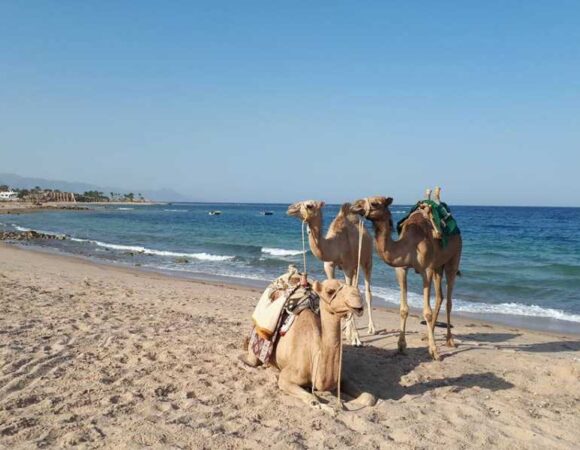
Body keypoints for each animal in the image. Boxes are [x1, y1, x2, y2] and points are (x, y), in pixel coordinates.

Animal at [240, 280, 376, 414]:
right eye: (330, 291)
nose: (357, 296)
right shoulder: (287, 376)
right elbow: (313, 399)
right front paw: (329, 407)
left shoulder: (342, 377)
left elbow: (369, 397)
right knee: (250, 359)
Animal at [286, 200, 376, 344]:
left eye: (309, 205)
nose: (290, 208)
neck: (336, 245)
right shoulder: (329, 266)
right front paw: (347, 331)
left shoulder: (348, 267)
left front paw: (355, 337)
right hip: (356, 267)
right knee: (356, 287)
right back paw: (347, 329)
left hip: (367, 260)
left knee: (367, 292)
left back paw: (371, 328)